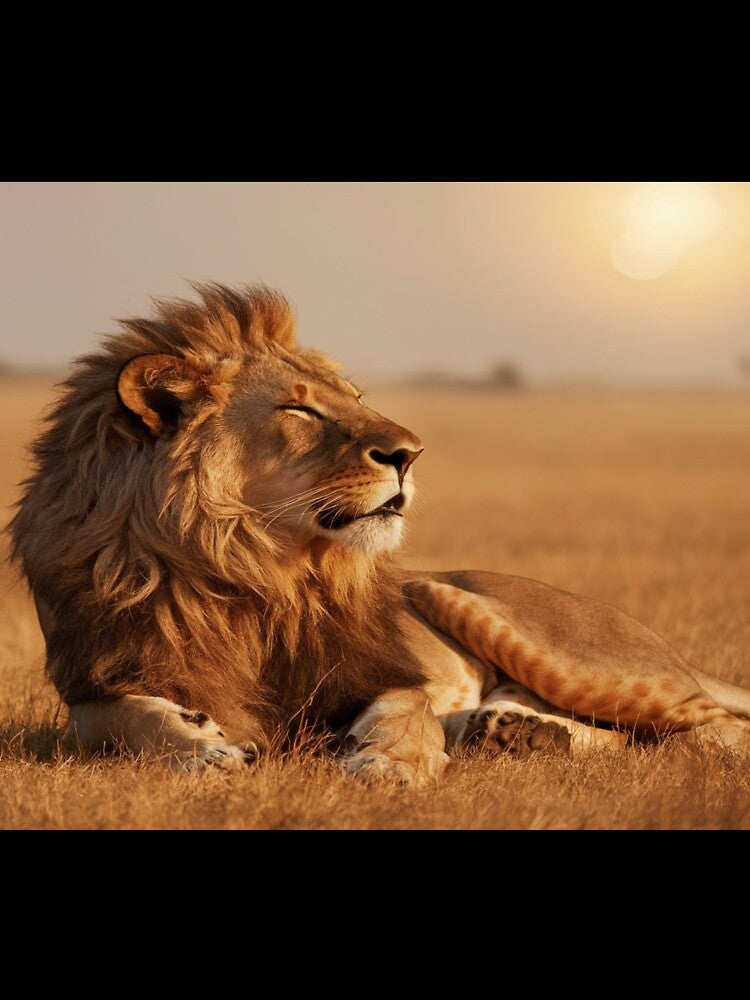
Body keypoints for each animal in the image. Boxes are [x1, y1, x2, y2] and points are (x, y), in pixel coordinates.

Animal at [8, 283, 750, 785]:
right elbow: (118, 720)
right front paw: (202, 748)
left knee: (711, 727)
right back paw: (516, 734)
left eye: (355, 401)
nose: (410, 454)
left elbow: (403, 710)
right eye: (301, 410)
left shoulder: (376, 670)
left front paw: (391, 766)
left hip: (526, 632)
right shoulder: (99, 680)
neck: (250, 572)